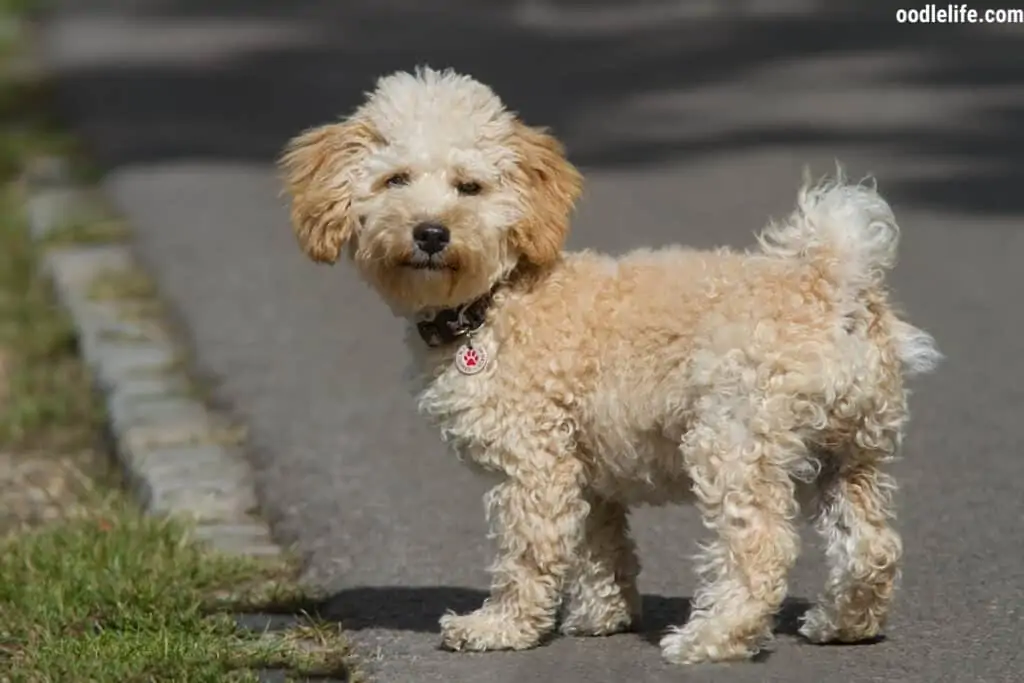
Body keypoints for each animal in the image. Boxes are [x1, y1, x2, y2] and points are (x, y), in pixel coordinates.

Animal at [280, 66, 942, 663]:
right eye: (395, 180)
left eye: (469, 187)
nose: (431, 232)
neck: (494, 299)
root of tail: (834, 282)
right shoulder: (585, 468)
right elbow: (600, 547)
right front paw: (603, 616)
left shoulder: (535, 463)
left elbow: (530, 552)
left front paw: (500, 627)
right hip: (851, 452)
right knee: (873, 546)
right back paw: (842, 624)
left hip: (735, 441)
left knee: (760, 548)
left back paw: (711, 639)